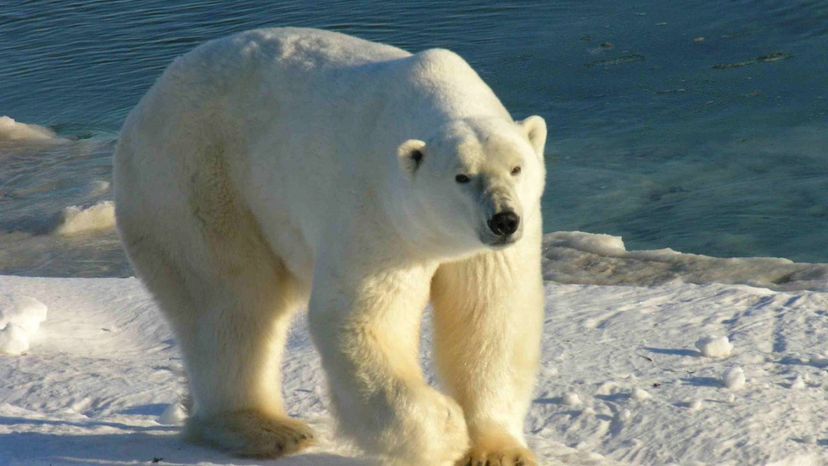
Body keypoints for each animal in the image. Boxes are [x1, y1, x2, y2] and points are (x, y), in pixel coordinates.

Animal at [114, 27, 547, 466]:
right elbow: (365, 317)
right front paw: (446, 430)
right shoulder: (379, 212)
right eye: (462, 177)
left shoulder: (489, 250)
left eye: (516, 168)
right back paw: (267, 428)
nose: (503, 220)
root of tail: (144, 105)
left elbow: (491, 318)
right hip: (195, 178)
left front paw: (500, 451)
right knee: (229, 300)